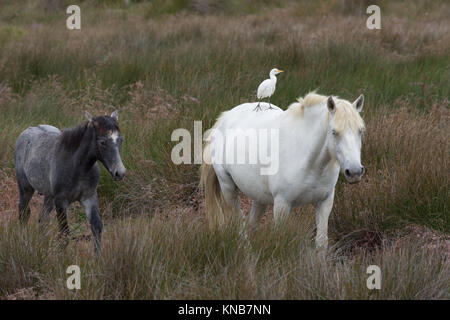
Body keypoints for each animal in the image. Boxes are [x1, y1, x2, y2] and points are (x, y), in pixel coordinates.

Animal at [200, 91, 366, 249]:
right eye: (334, 132)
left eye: (361, 131)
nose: (355, 171)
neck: (310, 162)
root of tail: (225, 118)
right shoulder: (282, 204)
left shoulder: (324, 202)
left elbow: (321, 243)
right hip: (228, 188)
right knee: (239, 222)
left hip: (259, 196)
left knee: (252, 223)